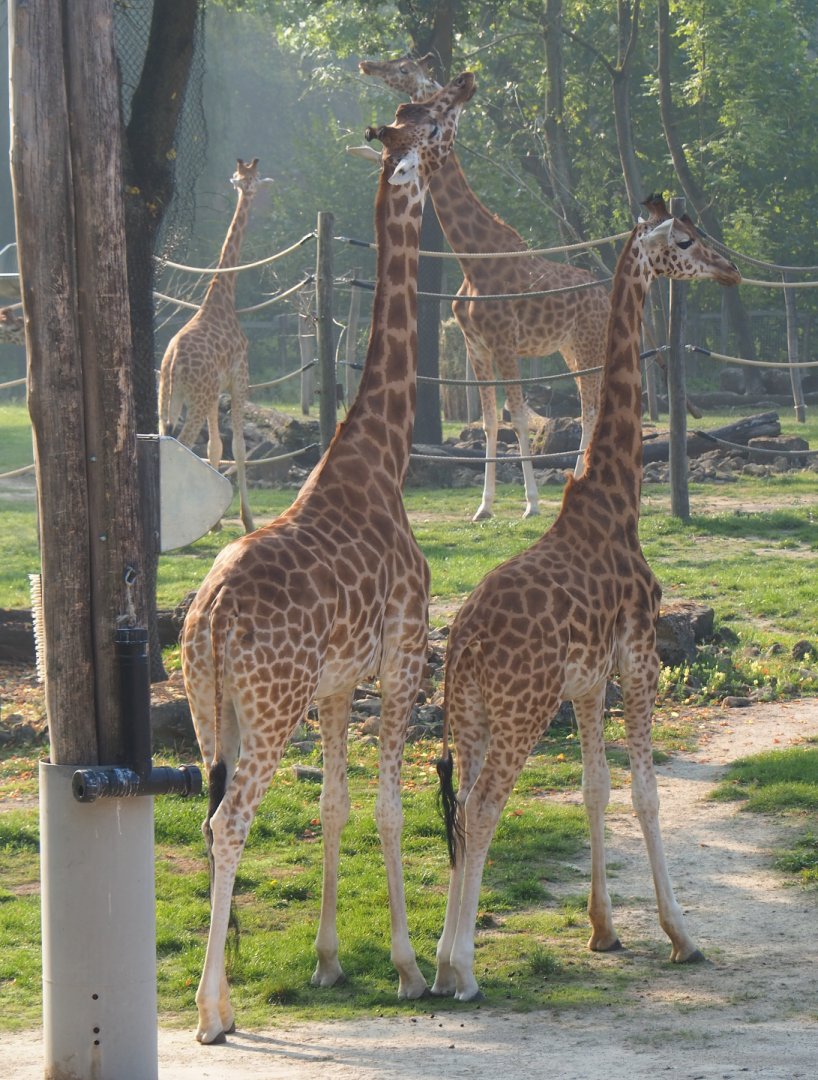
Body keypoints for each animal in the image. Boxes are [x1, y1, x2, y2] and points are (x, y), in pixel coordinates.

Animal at [158, 158, 269, 534]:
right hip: (195, 396)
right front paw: (247, 520)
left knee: (165, 442)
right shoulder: (238, 379)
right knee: (181, 444)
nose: (249, 191)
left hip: (170, 397)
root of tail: (173, 361)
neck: (220, 299)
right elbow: (237, 446)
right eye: (249, 178)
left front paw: (217, 522)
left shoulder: (213, 392)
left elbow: (215, 446)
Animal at [181, 72, 476, 1045]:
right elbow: (387, 806)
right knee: (229, 822)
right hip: (269, 710)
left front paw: (329, 959)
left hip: (211, 710)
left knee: (208, 814)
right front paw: (410, 968)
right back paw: (211, 1013)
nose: (464, 87)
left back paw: (223, 995)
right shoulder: (402, 657)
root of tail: (207, 619)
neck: (380, 456)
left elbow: (335, 804)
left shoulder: (341, 682)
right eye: (435, 117)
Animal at [359, 53, 609, 522]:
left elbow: (519, 415)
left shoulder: (505, 342)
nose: (465, 79)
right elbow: (492, 420)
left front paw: (531, 504)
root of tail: (605, 292)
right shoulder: (477, 346)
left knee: (591, 408)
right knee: (592, 406)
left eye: (402, 69)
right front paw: (485, 506)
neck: (472, 257)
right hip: (571, 349)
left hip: (590, 343)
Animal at [431, 195, 741, 1002]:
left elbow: (595, 787)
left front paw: (603, 929)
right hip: (521, 709)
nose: (730, 267)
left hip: (472, 715)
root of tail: (463, 643)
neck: (616, 499)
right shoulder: (640, 660)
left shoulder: (589, 680)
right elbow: (645, 793)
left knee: (461, 807)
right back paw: (462, 969)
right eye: (684, 240)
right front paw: (681, 935)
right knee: (484, 807)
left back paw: (440, 963)